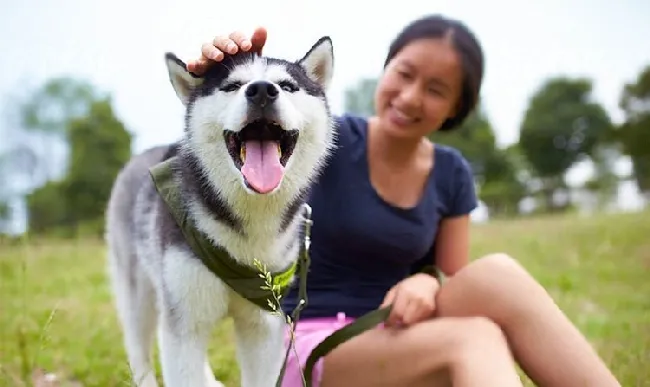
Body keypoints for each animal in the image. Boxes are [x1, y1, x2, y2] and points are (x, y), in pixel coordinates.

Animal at [105, 37, 334, 387]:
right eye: (233, 86)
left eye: (287, 85)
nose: (262, 90)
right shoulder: (184, 322)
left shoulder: (263, 324)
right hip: (139, 293)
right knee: (138, 345)